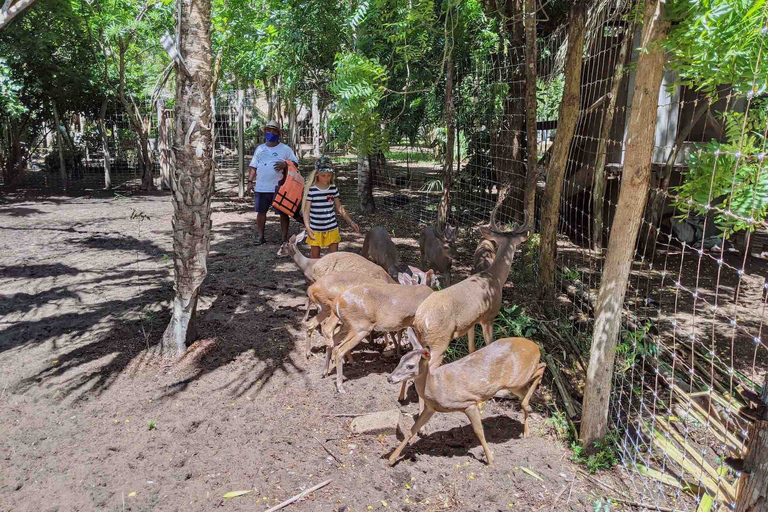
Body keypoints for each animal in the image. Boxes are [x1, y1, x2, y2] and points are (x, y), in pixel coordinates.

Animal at [390, 330, 544, 466]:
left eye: (410, 366)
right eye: (400, 359)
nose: (389, 378)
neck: (434, 386)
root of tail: (535, 346)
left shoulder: (469, 403)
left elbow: (479, 432)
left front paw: (490, 460)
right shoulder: (431, 407)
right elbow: (412, 430)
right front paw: (392, 459)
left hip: (518, 378)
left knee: (541, 367)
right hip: (515, 385)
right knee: (526, 390)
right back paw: (526, 429)